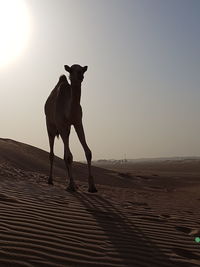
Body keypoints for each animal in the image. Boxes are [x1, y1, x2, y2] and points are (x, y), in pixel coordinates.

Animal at [44, 65, 97, 195]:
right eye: (72, 70)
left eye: (82, 70)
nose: (80, 76)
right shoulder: (61, 125)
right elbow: (69, 156)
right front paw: (71, 185)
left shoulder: (78, 123)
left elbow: (88, 152)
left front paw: (92, 186)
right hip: (50, 126)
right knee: (52, 153)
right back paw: (50, 180)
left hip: (67, 130)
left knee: (65, 153)